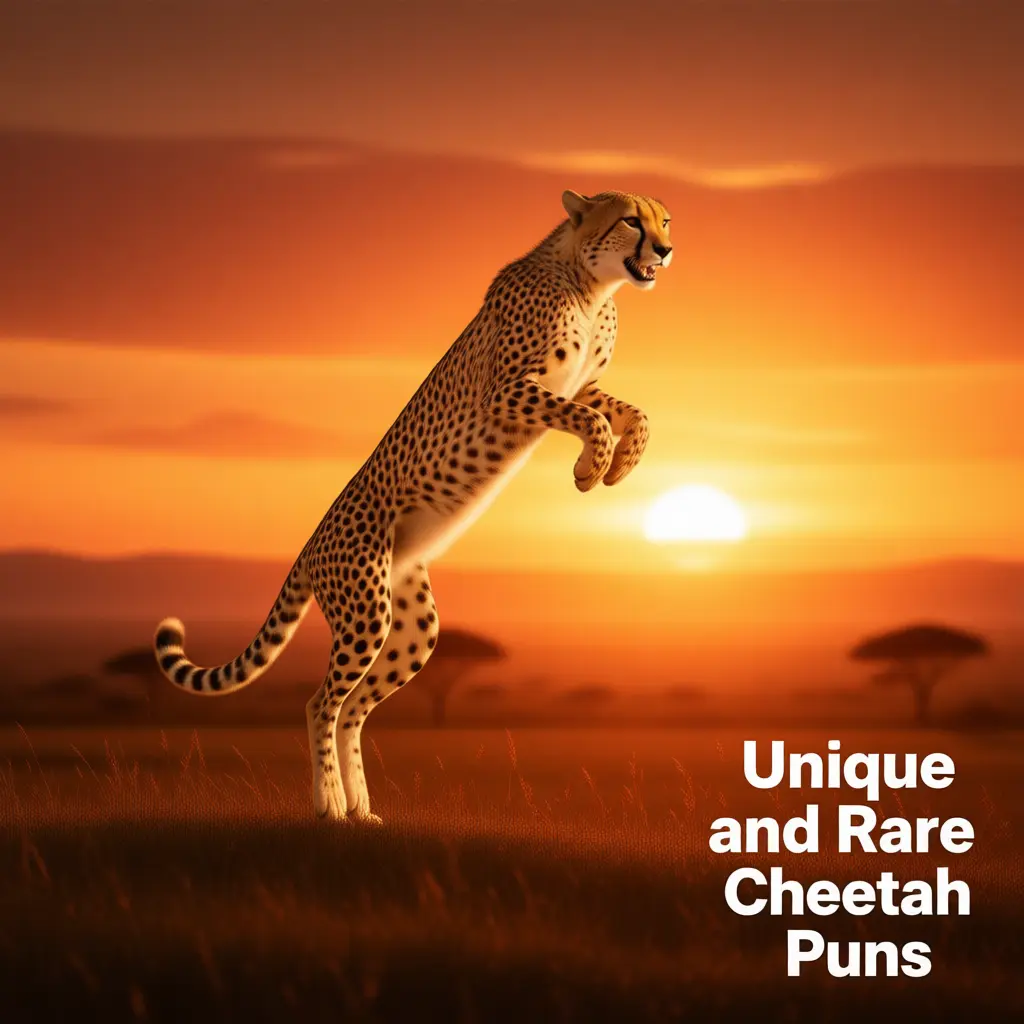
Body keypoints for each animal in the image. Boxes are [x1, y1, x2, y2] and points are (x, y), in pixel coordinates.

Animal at [153, 189, 673, 822]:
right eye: (630, 221)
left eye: (664, 220)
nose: (666, 249)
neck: (591, 286)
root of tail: (308, 546)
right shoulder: (508, 390)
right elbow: (593, 418)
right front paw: (589, 468)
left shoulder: (578, 385)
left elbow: (631, 413)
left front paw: (617, 465)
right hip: (364, 609)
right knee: (322, 703)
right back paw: (330, 805)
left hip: (412, 627)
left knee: (354, 706)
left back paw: (363, 809)